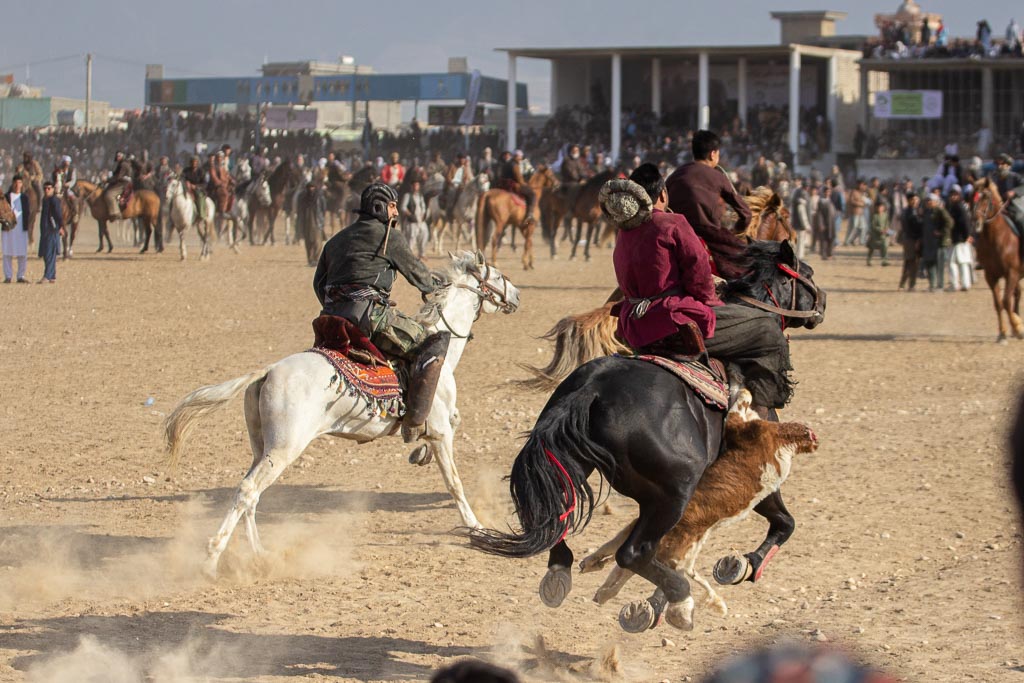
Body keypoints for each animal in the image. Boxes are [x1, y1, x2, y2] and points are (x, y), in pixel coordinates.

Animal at [164, 252, 524, 577]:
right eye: (496, 273)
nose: (517, 295)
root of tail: (267, 372)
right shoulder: (440, 433)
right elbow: (455, 484)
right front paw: (476, 527)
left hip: (261, 448)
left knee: (250, 497)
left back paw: (260, 555)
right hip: (283, 449)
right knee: (247, 492)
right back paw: (212, 559)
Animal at [585, 389, 815, 618]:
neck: (782, 445)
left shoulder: (744, 429)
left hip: (662, 534)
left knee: (629, 559)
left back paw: (603, 586)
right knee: (628, 556)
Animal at [970, 179, 1019, 344]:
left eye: (986, 198)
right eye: (971, 197)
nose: (976, 222)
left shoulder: (1012, 274)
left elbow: (1006, 301)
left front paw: (1017, 328)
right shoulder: (991, 276)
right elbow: (998, 304)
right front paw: (1003, 334)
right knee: (1018, 294)